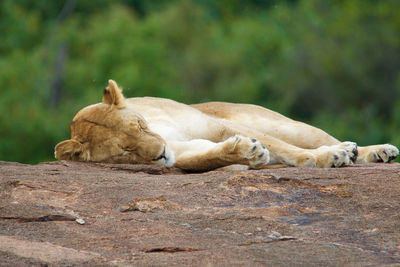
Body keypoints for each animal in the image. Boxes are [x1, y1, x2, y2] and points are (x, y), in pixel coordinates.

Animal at [54, 80, 398, 172]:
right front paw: (247, 153)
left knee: (322, 137)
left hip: (284, 124)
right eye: (125, 150)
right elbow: (208, 157)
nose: (160, 152)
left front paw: (328, 157)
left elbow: (288, 150)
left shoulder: (215, 126)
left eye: (139, 125)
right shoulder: (184, 155)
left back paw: (371, 151)